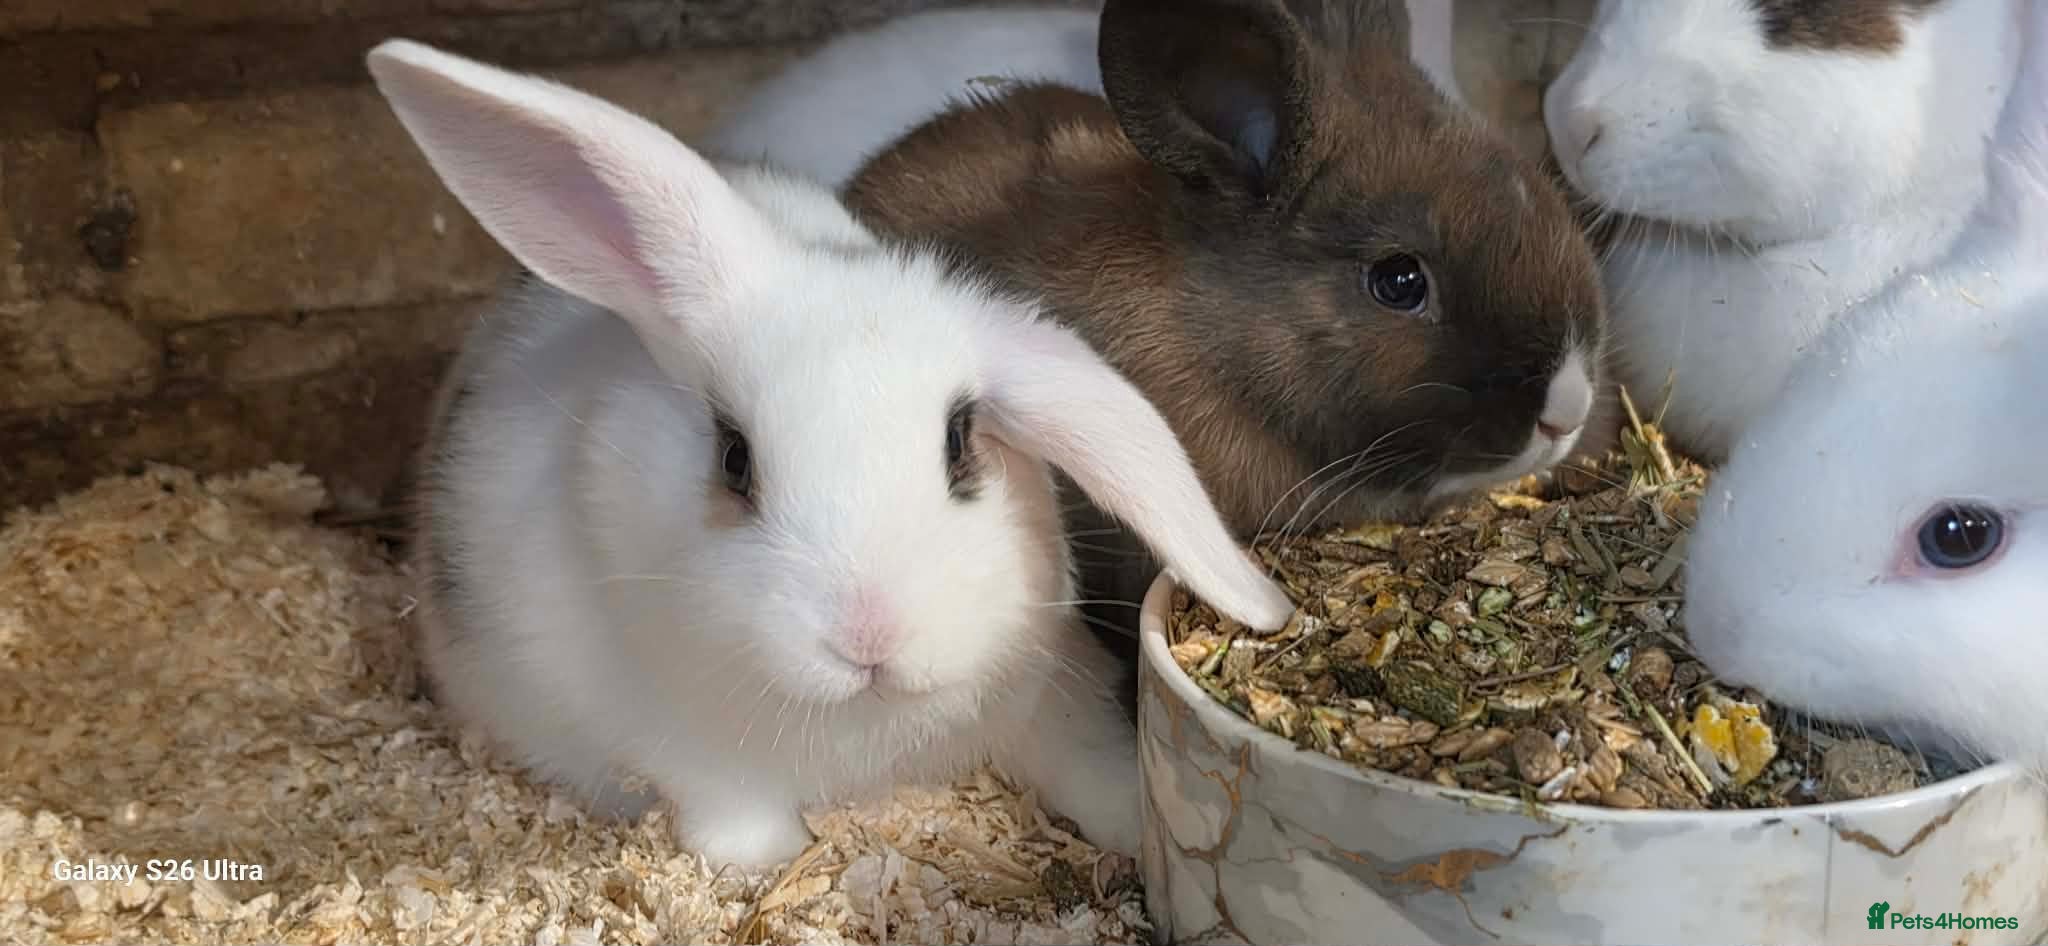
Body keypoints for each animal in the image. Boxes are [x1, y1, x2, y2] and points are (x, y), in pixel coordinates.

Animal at [366, 38, 1297, 870]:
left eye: (960, 442)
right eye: (735, 459)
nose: (869, 639)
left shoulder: (1054, 693)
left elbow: (1091, 765)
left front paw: (1135, 828)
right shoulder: (672, 747)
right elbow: (731, 821)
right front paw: (770, 859)